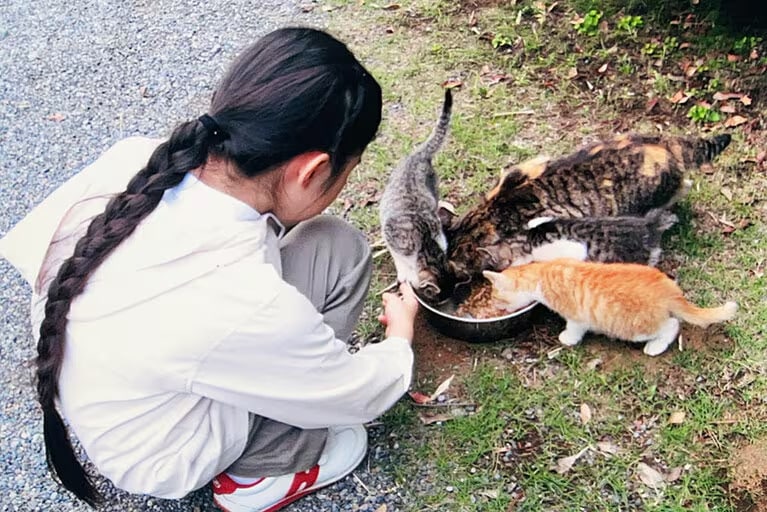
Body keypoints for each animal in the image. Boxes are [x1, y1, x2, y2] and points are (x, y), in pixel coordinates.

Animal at [484, 258, 740, 354]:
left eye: (496, 297)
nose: (496, 307)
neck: (543, 272)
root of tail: (668, 289)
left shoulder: (576, 316)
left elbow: (574, 328)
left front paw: (567, 338)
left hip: (636, 327)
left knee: (672, 325)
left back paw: (655, 347)